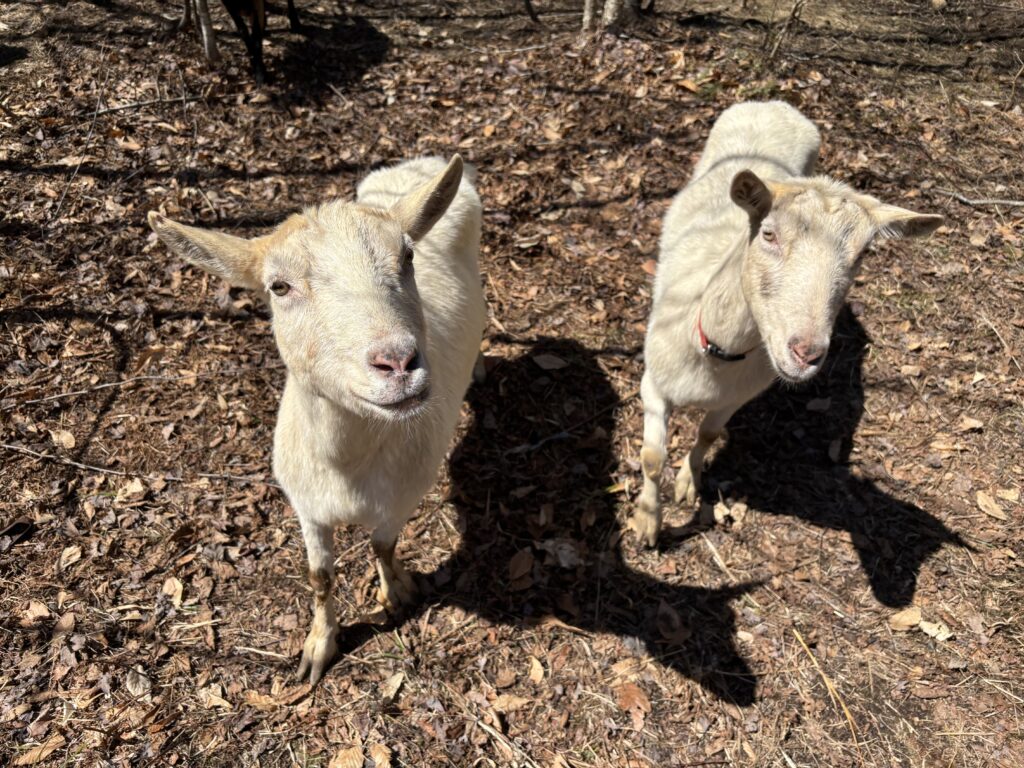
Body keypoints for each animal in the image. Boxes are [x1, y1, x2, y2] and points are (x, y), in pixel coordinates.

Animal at [148, 156, 487, 684]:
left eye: (407, 257)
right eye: (279, 286)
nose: (397, 362)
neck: (347, 465)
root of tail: (425, 162)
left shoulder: (401, 499)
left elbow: (383, 547)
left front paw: (396, 593)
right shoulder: (306, 506)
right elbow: (320, 577)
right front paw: (318, 646)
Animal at [631, 101, 943, 547]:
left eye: (862, 255)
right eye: (768, 234)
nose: (806, 352)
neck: (714, 350)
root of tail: (775, 104)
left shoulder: (736, 397)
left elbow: (707, 435)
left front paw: (689, 482)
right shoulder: (653, 380)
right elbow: (653, 457)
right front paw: (647, 523)